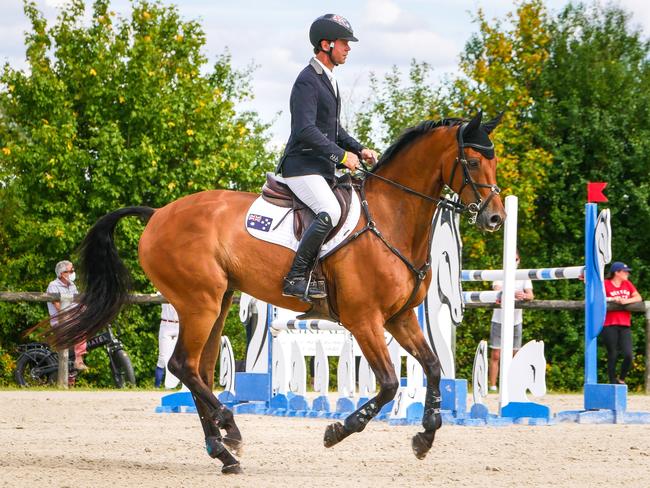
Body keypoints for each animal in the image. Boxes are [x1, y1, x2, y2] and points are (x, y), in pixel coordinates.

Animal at [50, 109, 506, 472]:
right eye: (471, 160)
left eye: (495, 160)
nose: (496, 218)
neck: (391, 219)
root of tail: (159, 213)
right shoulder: (364, 320)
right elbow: (391, 383)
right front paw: (338, 430)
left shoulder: (399, 316)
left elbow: (432, 366)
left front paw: (425, 437)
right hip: (199, 302)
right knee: (183, 365)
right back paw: (229, 430)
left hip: (217, 302)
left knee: (198, 368)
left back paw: (222, 450)